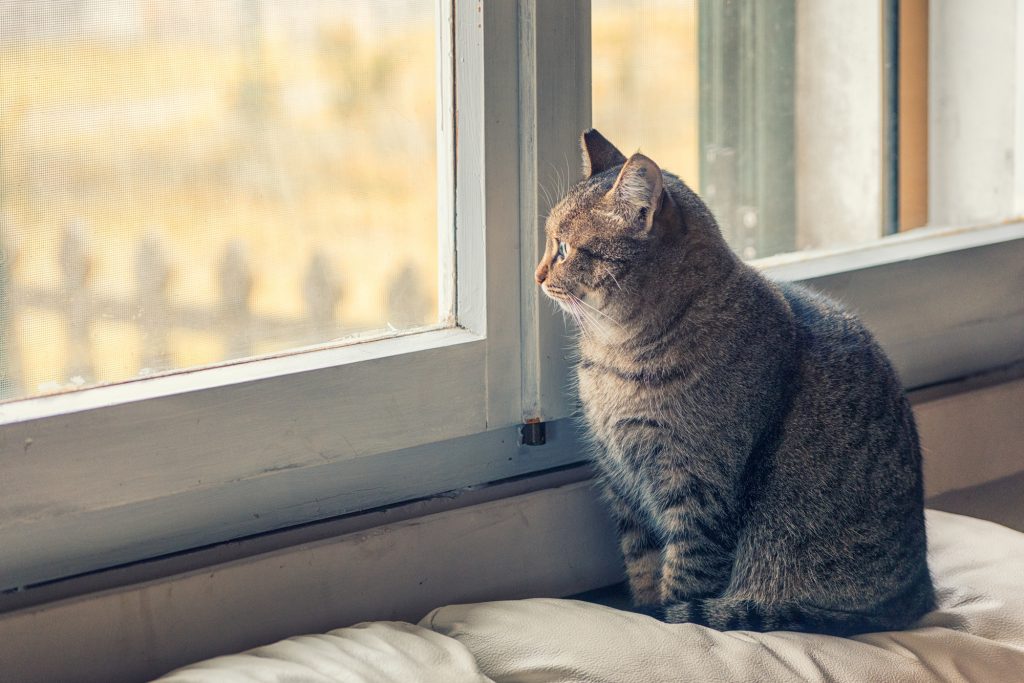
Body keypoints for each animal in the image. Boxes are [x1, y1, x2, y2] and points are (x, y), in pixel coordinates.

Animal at [536, 129, 937, 634]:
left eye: (564, 248)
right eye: (549, 243)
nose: (537, 275)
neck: (618, 357)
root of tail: (917, 596)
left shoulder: (698, 490)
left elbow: (684, 580)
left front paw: (666, 619)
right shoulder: (623, 484)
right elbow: (643, 566)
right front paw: (645, 610)